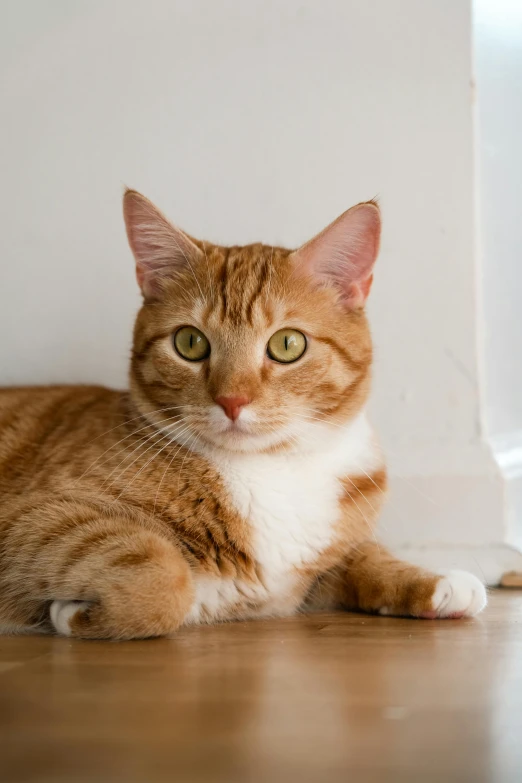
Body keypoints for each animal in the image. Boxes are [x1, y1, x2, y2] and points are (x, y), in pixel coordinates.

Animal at [0, 193, 486, 640]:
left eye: (287, 344)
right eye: (190, 343)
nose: (232, 400)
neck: (273, 468)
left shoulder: (324, 565)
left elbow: (367, 557)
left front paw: (436, 582)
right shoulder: (32, 514)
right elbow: (163, 577)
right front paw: (74, 614)